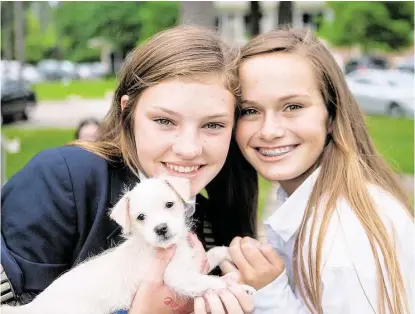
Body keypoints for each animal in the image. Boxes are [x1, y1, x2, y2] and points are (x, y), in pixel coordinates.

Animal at [2, 177, 254, 314]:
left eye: (169, 204)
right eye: (141, 217)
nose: (161, 229)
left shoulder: (191, 264)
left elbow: (214, 253)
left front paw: (233, 250)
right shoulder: (177, 277)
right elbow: (210, 283)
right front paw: (239, 288)